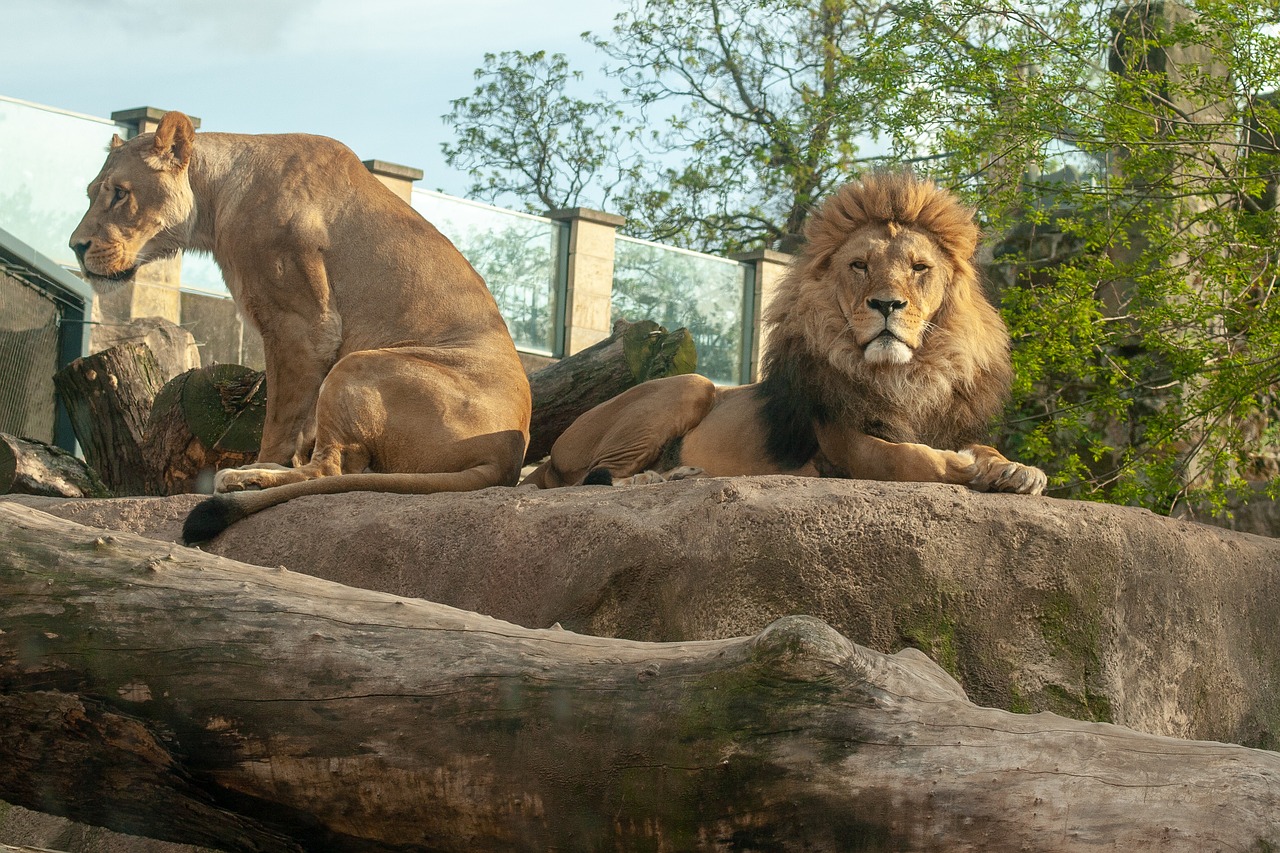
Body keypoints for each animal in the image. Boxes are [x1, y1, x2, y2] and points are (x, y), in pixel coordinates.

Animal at [71, 111, 529, 545]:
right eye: (92, 193)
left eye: (119, 192)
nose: (76, 247)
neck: (215, 201)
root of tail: (508, 457)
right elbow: (301, 423)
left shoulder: (301, 326)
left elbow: (280, 420)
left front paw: (261, 461)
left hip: (358, 365)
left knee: (328, 470)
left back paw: (245, 478)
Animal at [524, 171, 1044, 491]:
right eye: (860, 265)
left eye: (919, 268)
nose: (887, 304)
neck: (905, 376)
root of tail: (551, 454)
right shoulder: (846, 443)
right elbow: (909, 458)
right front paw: (966, 465)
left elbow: (980, 446)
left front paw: (1017, 470)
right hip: (690, 384)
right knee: (591, 479)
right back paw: (658, 478)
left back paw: (680, 474)